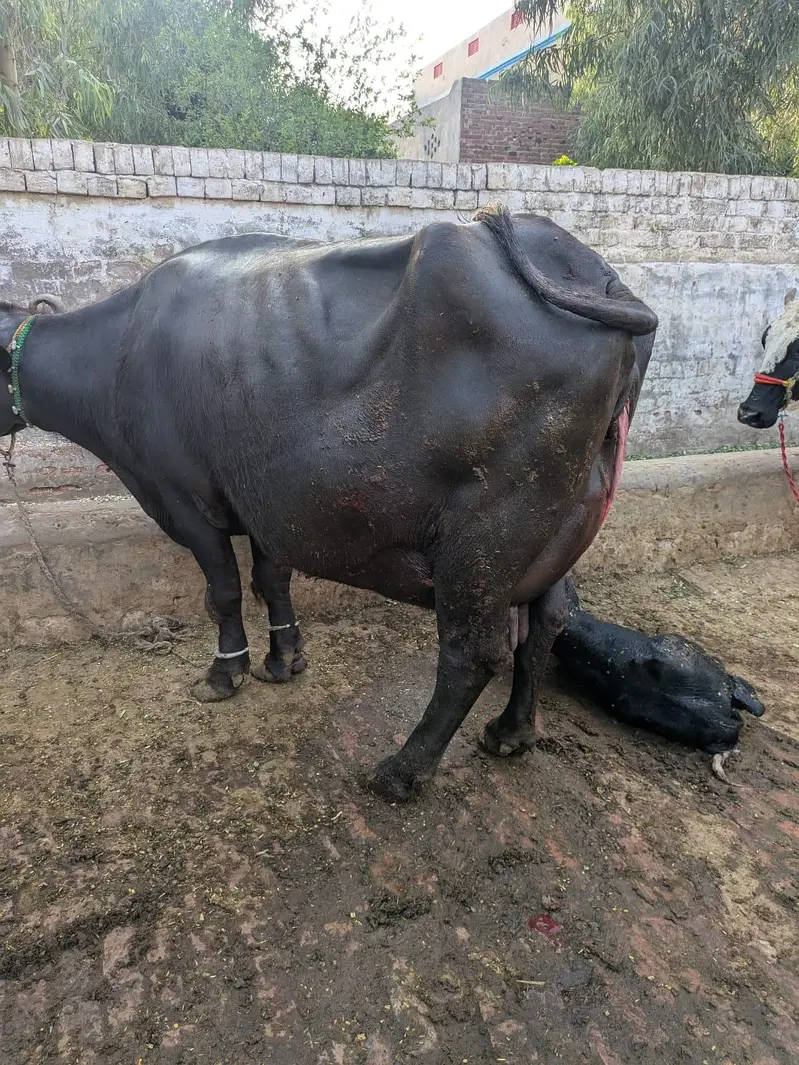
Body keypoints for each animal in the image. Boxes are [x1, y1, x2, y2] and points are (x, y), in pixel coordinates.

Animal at [0, 207, 657, 801]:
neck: (116, 357)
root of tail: (590, 272)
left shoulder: (186, 500)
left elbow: (223, 592)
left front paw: (224, 671)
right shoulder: (270, 503)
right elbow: (271, 579)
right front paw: (284, 658)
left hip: (487, 540)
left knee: (473, 653)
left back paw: (402, 771)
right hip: (556, 530)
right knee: (550, 618)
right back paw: (512, 732)